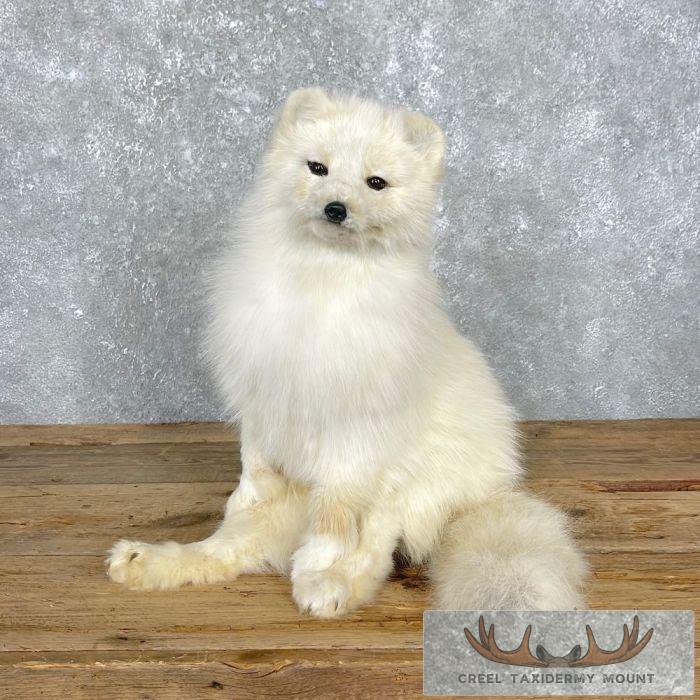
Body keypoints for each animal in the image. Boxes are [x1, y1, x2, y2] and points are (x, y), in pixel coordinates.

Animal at [107, 88, 588, 617]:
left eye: (375, 182)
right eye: (317, 168)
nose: (336, 208)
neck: (319, 280)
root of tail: (486, 494)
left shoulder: (353, 434)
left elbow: (335, 518)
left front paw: (321, 567)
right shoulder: (262, 395)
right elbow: (253, 468)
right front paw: (246, 498)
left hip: (405, 484)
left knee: (375, 545)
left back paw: (329, 586)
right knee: (229, 548)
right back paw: (142, 561)